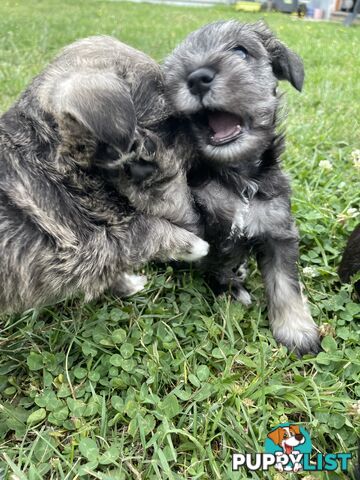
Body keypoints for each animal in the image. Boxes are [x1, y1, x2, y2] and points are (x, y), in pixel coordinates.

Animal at [164, 19, 320, 356]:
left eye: (240, 51)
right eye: (174, 66)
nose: (196, 78)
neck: (239, 179)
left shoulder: (278, 231)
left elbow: (285, 284)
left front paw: (297, 330)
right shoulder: (208, 231)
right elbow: (218, 266)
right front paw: (233, 292)